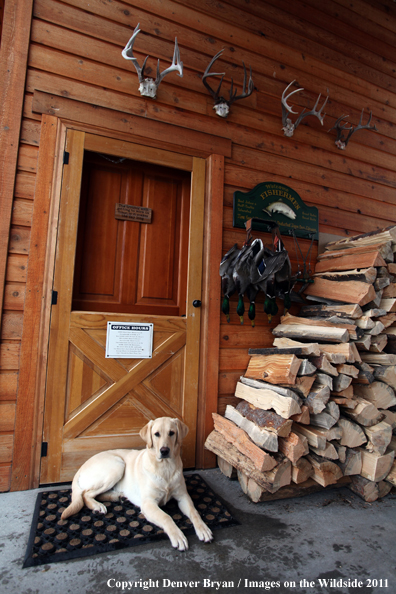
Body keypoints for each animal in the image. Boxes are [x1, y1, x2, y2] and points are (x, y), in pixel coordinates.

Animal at [61, 414, 213, 548]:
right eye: (156, 434)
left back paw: (119, 496)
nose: (164, 450)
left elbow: (194, 512)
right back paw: (98, 506)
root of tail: (80, 468)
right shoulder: (148, 503)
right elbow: (166, 517)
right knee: (85, 494)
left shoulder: (183, 496)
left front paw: (203, 528)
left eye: (172, 433)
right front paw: (177, 536)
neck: (165, 468)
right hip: (117, 465)